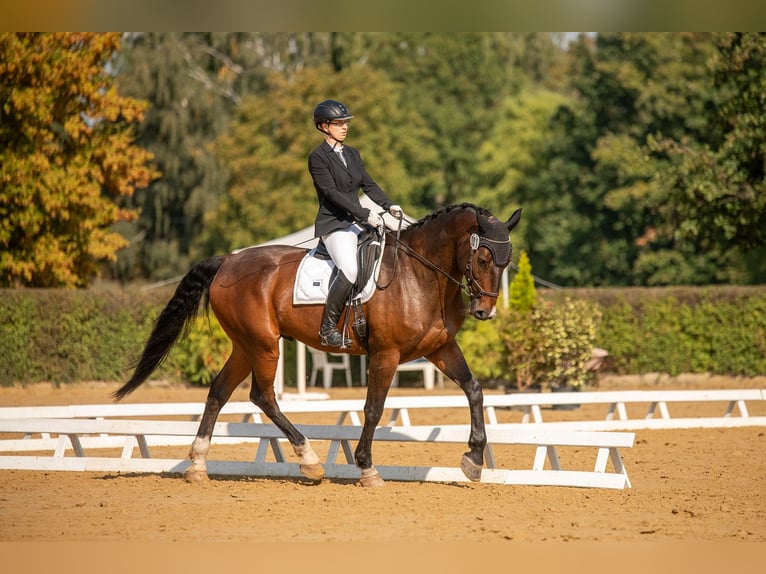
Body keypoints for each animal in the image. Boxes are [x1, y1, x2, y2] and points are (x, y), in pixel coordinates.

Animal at [114, 203, 522, 487]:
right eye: (482, 258)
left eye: (506, 262)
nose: (484, 311)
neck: (420, 275)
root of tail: (227, 260)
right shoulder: (386, 354)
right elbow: (373, 408)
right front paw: (367, 468)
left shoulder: (440, 349)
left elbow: (474, 389)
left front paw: (473, 459)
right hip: (264, 345)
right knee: (262, 396)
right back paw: (309, 460)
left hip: (246, 347)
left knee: (218, 392)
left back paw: (198, 466)